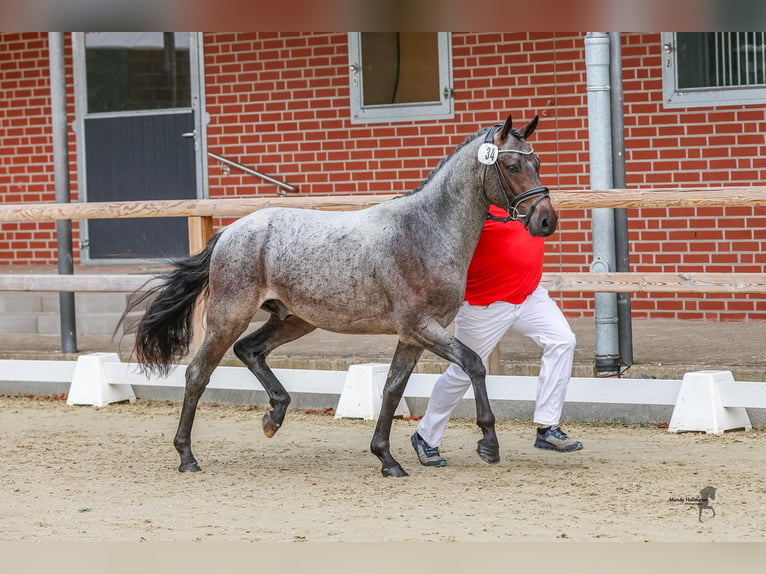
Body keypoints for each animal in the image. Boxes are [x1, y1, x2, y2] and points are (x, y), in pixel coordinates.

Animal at [123, 115, 560, 480]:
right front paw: (489, 443)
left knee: (250, 350)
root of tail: (231, 231)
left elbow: (392, 389)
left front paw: (387, 458)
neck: (425, 230)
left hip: (293, 319)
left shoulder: (413, 336)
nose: (546, 220)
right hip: (229, 316)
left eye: (538, 162)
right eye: (512, 166)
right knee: (198, 373)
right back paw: (187, 455)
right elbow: (473, 364)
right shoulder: (422, 327)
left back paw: (273, 417)